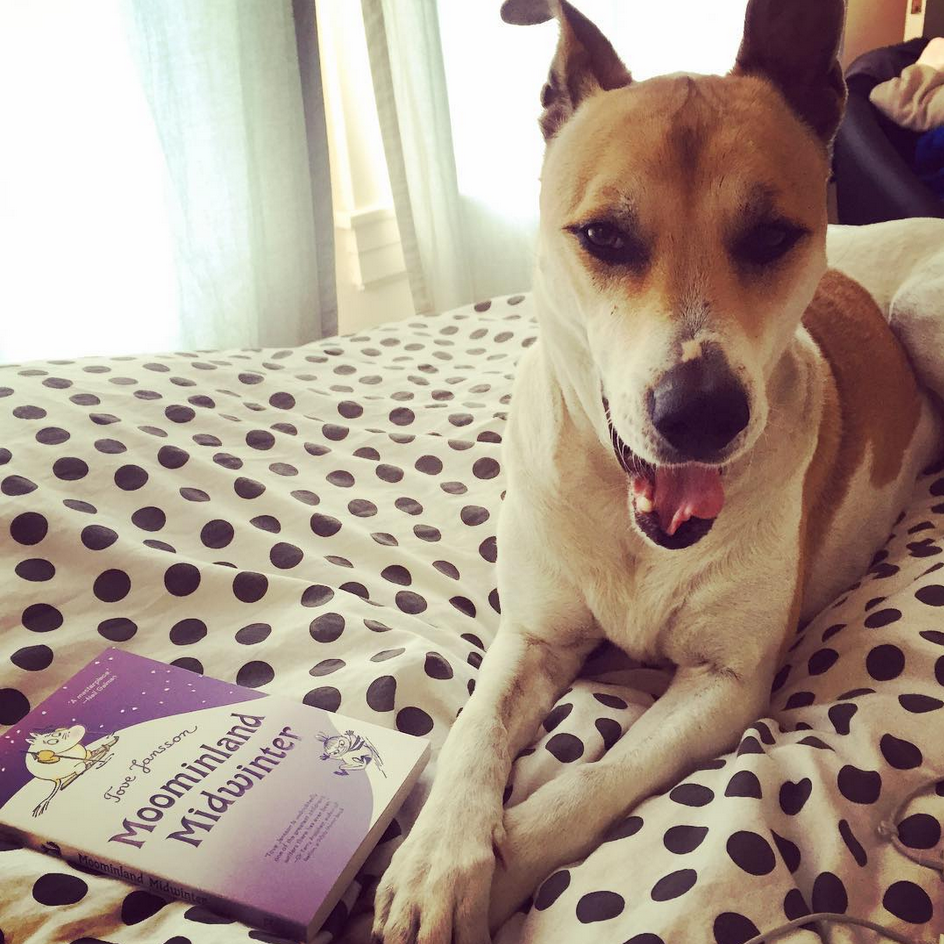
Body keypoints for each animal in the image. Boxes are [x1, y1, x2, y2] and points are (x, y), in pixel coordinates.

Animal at [372, 2, 944, 941]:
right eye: (603, 235)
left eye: (773, 236)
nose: (701, 413)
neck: (630, 520)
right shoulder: (532, 634)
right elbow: (474, 731)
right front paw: (435, 863)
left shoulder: (725, 685)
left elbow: (597, 778)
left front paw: (498, 871)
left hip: (921, 310)